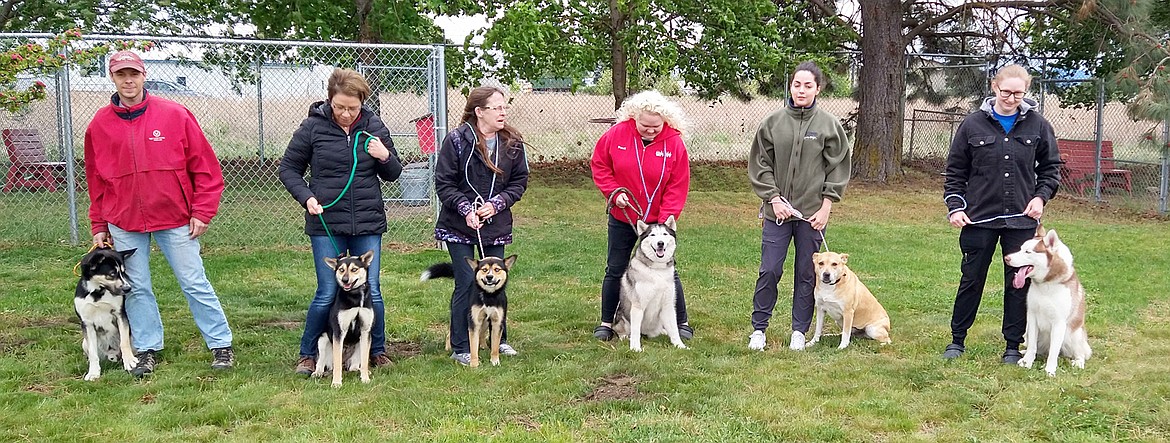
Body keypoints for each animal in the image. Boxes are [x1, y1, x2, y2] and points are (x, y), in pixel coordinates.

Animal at [73, 246, 137, 381]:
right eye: (112, 274)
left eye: (124, 272)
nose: (128, 288)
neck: (97, 293)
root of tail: (113, 354)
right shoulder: (87, 323)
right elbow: (93, 353)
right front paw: (93, 372)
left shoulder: (120, 315)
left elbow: (124, 342)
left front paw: (129, 361)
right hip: (84, 343)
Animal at [311, 253, 374, 388]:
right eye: (341, 270)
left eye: (354, 269)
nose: (345, 280)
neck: (355, 296)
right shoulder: (339, 332)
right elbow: (337, 363)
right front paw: (336, 383)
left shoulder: (365, 331)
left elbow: (364, 362)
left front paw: (365, 379)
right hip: (322, 340)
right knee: (322, 362)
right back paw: (317, 372)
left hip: (360, 344)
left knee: (354, 366)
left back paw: (359, 370)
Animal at [1001, 223, 1090, 376]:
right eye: (1020, 248)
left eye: (1028, 252)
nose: (1007, 258)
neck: (1046, 285)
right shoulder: (1032, 316)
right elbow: (1032, 347)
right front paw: (1027, 362)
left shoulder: (1059, 323)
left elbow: (1053, 351)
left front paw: (1050, 370)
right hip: (1029, 332)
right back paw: (1023, 353)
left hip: (1075, 334)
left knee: (1079, 353)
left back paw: (1078, 362)